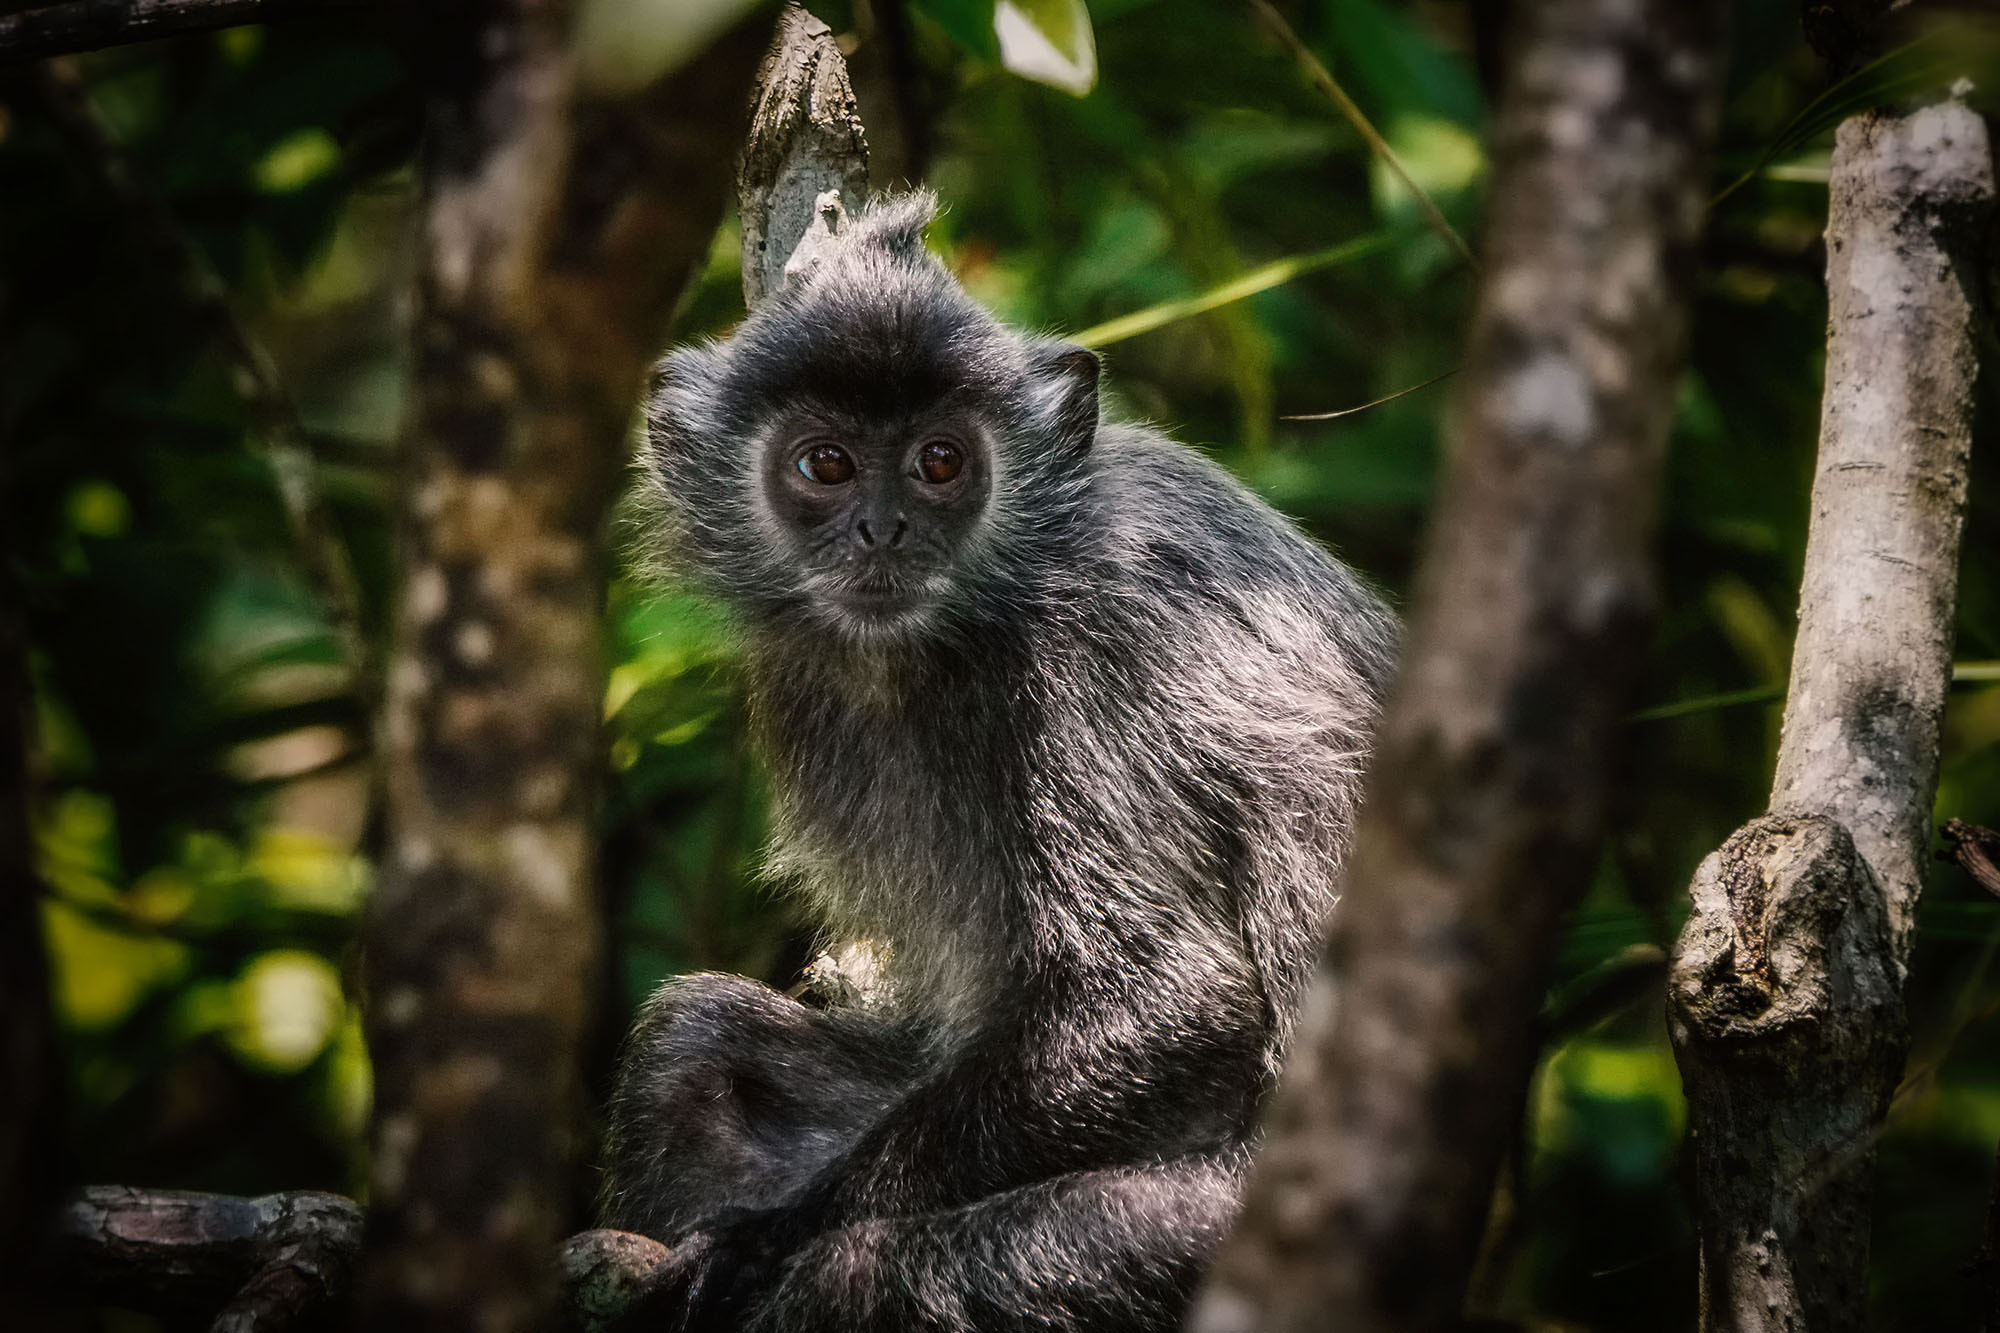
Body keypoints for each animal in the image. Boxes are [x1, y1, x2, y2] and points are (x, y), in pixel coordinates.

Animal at [600, 189, 1400, 1328]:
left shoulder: (1090, 658)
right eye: (826, 464)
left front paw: (762, 1242)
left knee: (859, 1277)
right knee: (693, 1040)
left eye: (940, 462)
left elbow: (1172, 999)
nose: (883, 531)